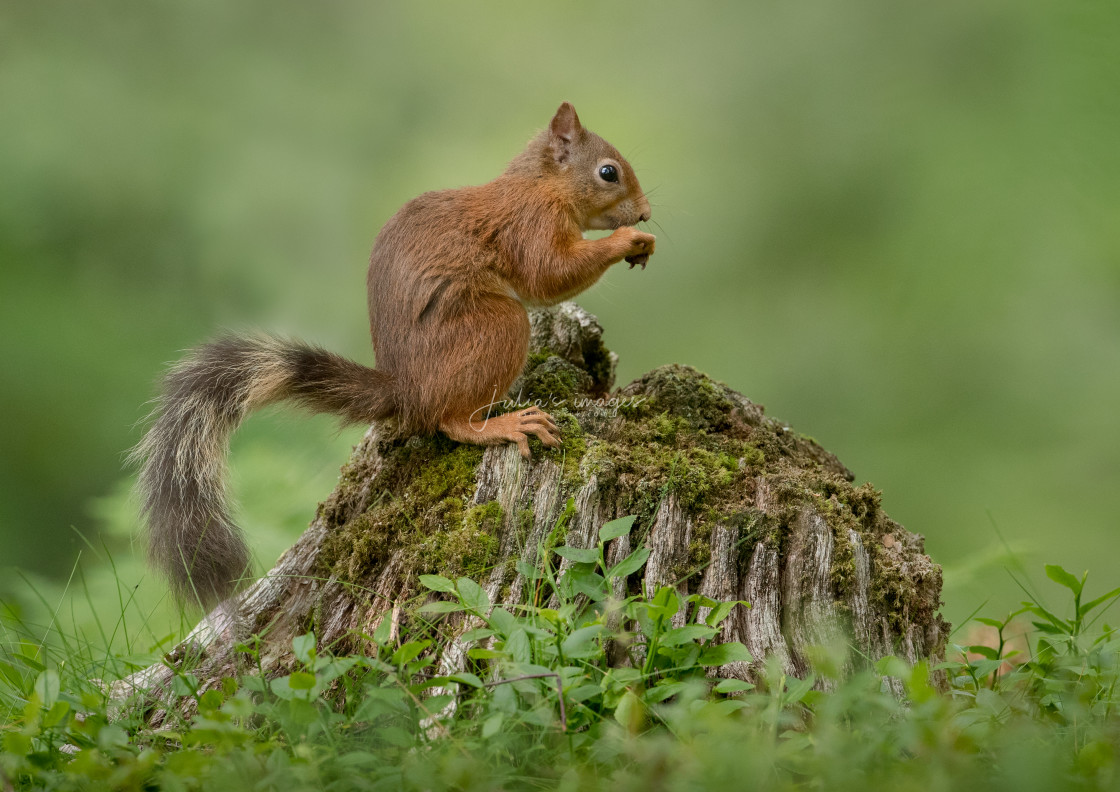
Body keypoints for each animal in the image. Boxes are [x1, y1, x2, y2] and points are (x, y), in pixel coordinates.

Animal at [134, 100, 654, 609]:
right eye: (608, 172)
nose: (647, 214)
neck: (542, 185)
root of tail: (408, 392)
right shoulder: (531, 224)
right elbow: (549, 274)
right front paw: (626, 241)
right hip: (499, 327)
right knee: (451, 421)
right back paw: (505, 424)